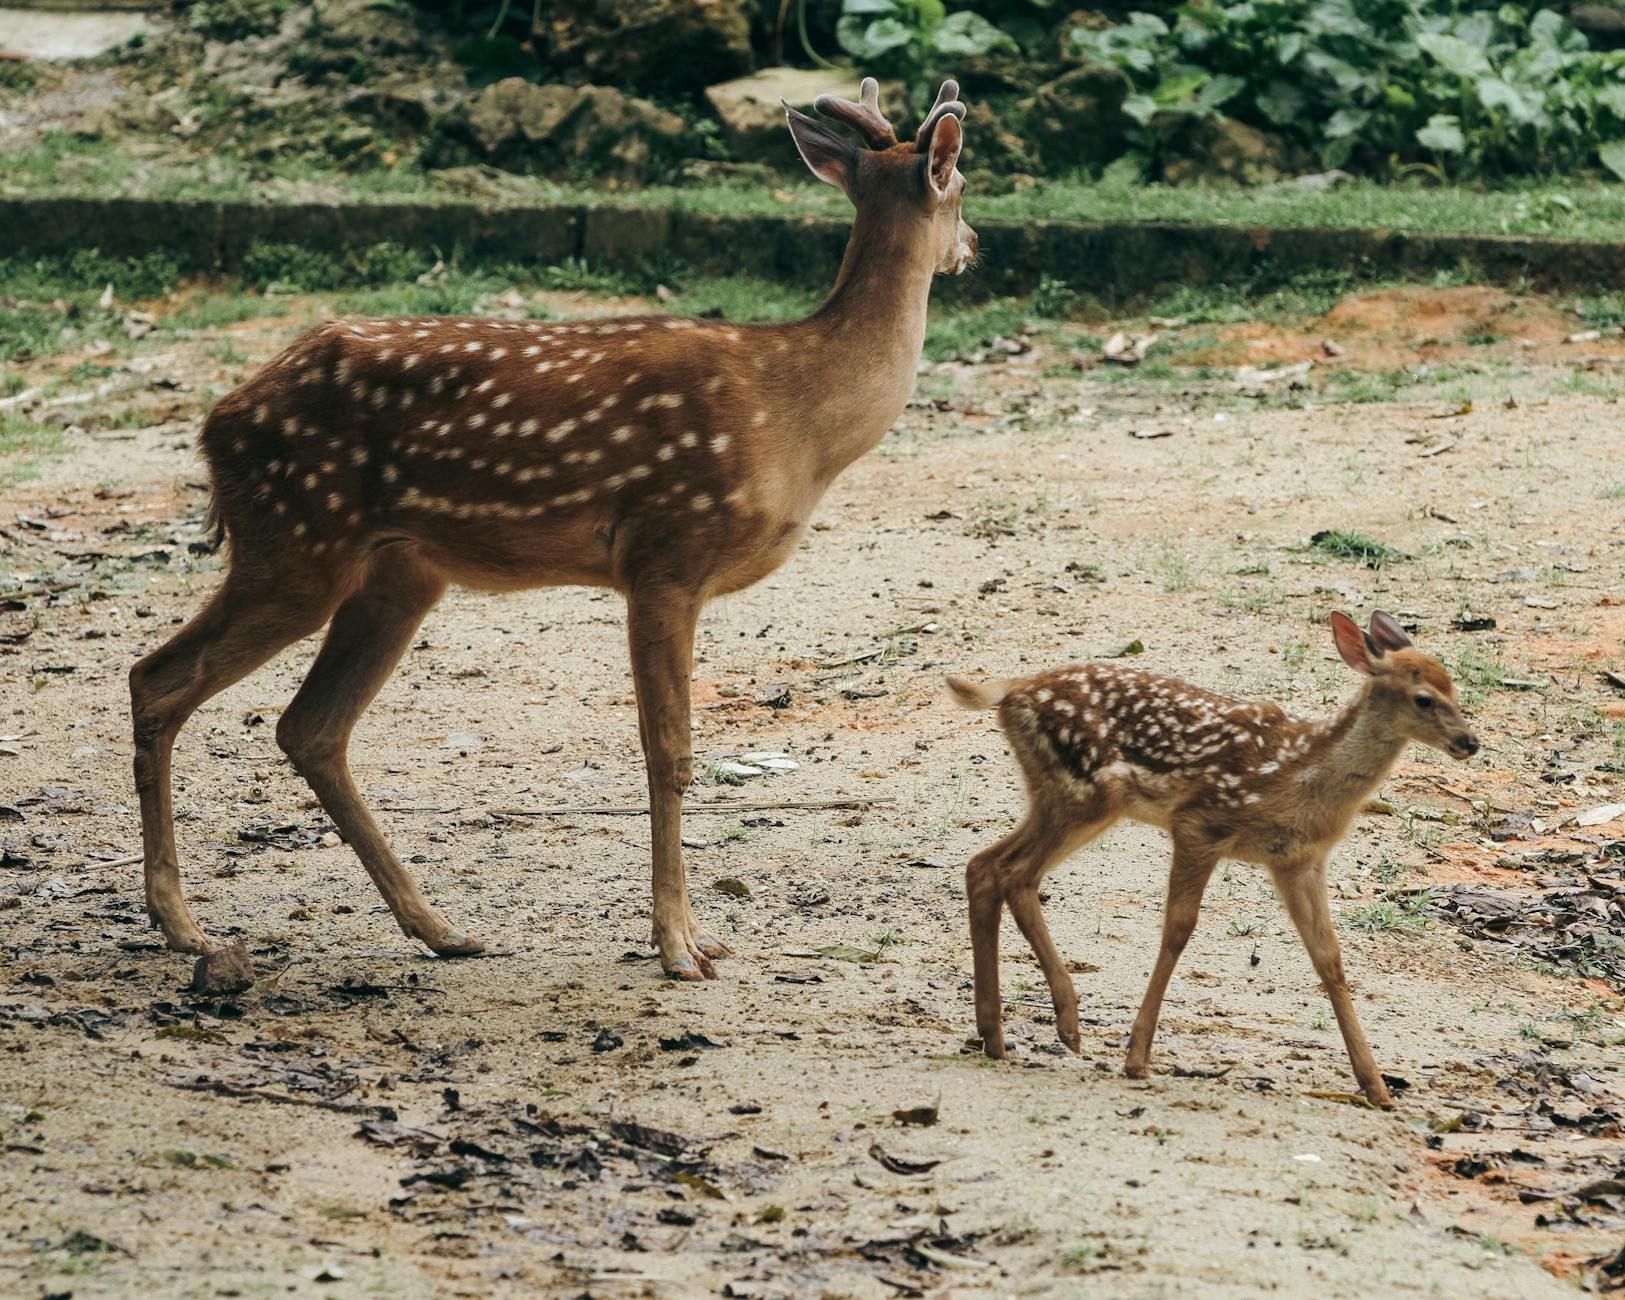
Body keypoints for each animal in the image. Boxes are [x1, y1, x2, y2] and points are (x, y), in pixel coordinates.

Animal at [128, 78, 977, 980]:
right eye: (962, 185)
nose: (974, 245)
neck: (798, 417)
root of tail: (215, 423)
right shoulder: (665, 555)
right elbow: (669, 752)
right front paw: (679, 945)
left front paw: (691, 934)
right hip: (295, 540)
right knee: (159, 679)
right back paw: (183, 925)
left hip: (394, 570)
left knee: (309, 727)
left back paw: (438, 926)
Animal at [948, 611, 1480, 1109]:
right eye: (1424, 698)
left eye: (1454, 687)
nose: (1469, 742)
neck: (1302, 776)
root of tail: (1011, 690)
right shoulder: (1200, 824)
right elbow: (1178, 930)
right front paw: (1137, 1058)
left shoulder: (1298, 860)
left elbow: (1328, 958)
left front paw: (1377, 1087)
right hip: (1084, 792)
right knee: (1013, 873)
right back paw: (1063, 1024)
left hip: (1062, 797)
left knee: (986, 867)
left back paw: (996, 1035)